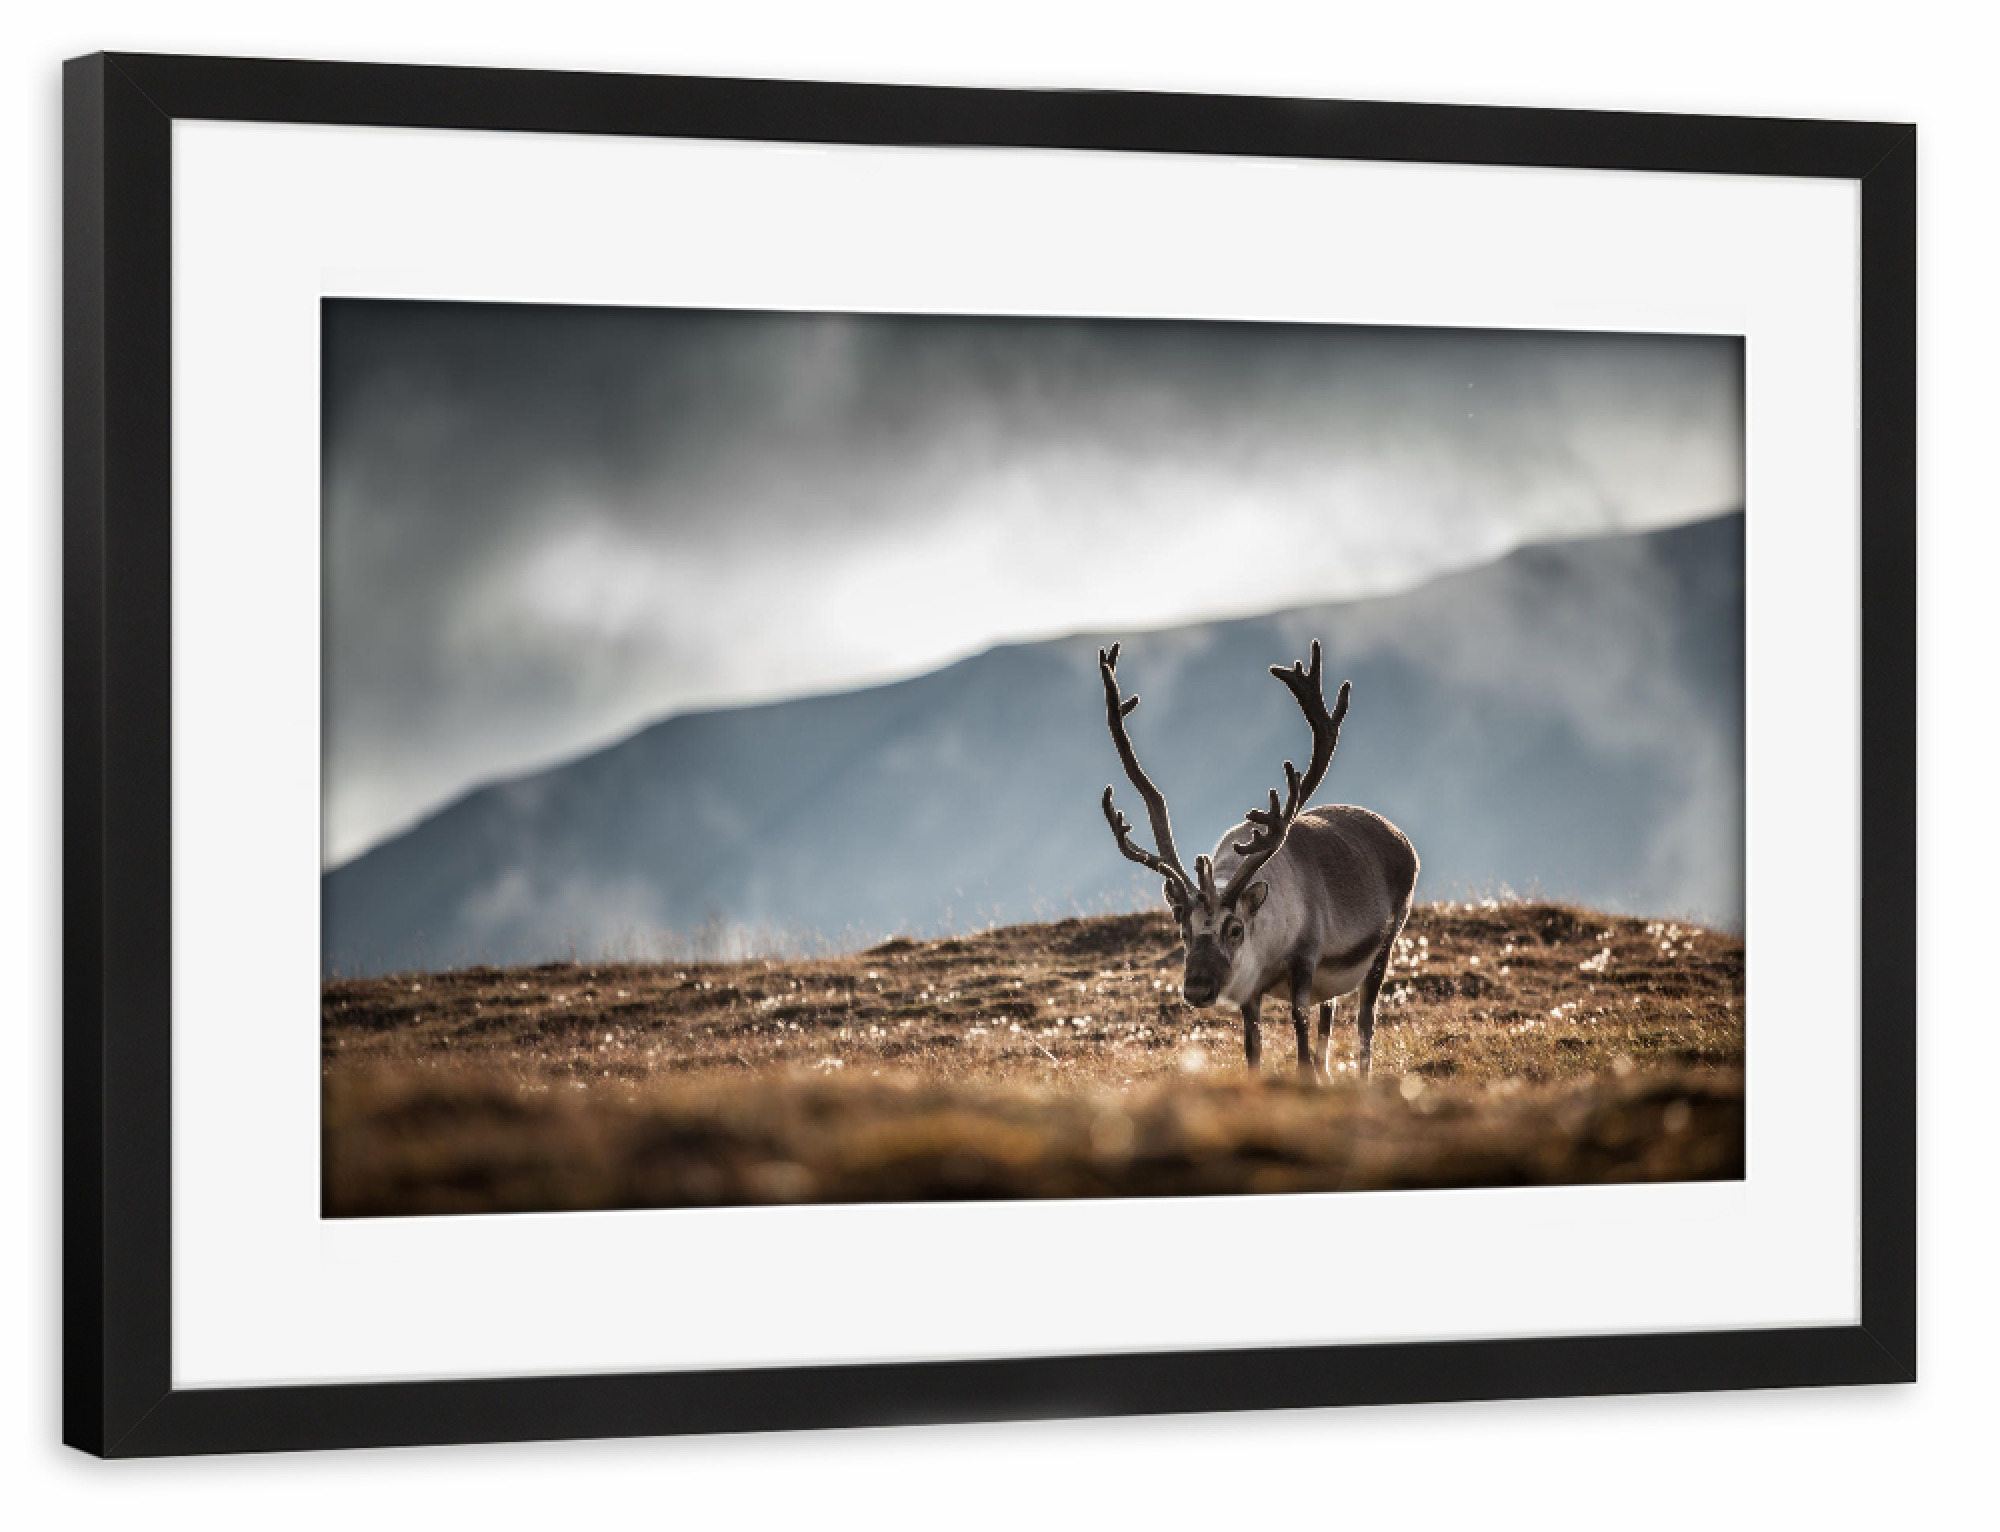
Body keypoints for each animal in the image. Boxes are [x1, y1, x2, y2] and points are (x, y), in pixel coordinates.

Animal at [1097, 640, 1419, 1081]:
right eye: (1183, 929)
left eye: (1234, 929)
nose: (1197, 988)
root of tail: (1403, 841)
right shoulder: (1251, 994)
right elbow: (1253, 1050)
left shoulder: (1305, 962)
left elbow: (1300, 1042)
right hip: (1333, 983)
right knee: (1329, 1016)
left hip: (1384, 947)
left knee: (1364, 1022)